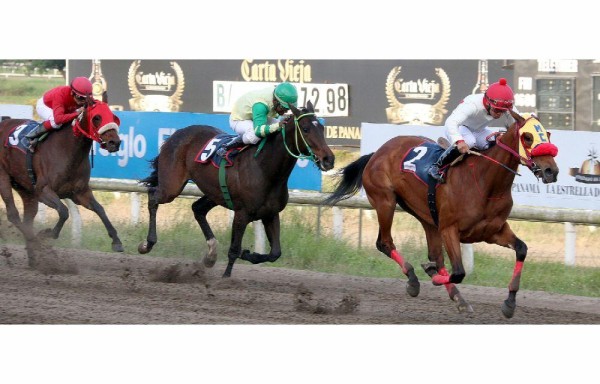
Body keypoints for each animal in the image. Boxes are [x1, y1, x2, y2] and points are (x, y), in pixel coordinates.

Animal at [0, 95, 123, 264]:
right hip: (3, 177)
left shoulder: (79, 193)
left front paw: (116, 241)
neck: (68, 151)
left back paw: (34, 257)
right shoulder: (43, 191)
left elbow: (100, 209)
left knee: (27, 219)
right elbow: (64, 211)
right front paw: (47, 234)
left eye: (114, 117)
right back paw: (37, 244)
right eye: (97, 117)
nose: (115, 143)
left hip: (24, 188)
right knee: (13, 215)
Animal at [138, 100, 336, 278]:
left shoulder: (270, 214)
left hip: (214, 193)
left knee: (197, 209)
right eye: (306, 128)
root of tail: (176, 134)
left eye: (322, 128)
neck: (265, 168)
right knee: (153, 195)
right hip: (172, 186)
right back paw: (147, 244)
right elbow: (234, 249)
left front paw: (249, 254)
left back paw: (211, 255)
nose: (329, 159)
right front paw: (226, 277)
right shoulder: (242, 213)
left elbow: (275, 253)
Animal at [322, 110, 560, 318]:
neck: (485, 182)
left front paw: (509, 303)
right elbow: (459, 272)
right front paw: (431, 274)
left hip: (426, 216)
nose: (552, 171)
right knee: (385, 243)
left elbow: (521, 249)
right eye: (527, 137)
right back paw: (414, 280)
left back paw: (458, 298)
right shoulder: (449, 229)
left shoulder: (494, 231)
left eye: (547, 134)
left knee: (434, 254)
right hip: (385, 201)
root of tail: (376, 153)